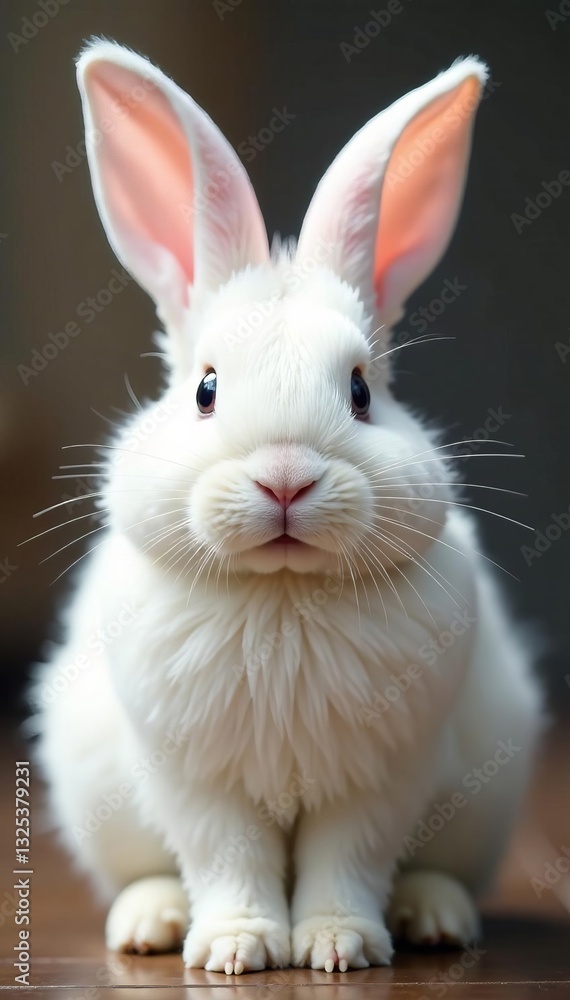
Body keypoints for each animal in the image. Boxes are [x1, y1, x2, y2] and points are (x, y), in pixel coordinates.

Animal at [33, 40, 542, 974]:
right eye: (204, 389)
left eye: (362, 392)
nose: (285, 481)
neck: (281, 592)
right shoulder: (195, 782)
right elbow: (227, 859)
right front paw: (235, 950)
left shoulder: (381, 776)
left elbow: (351, 860)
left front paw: (339, 947)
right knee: (146, 874)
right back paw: (150, 924)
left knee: (435, 871)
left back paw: (435, 918)